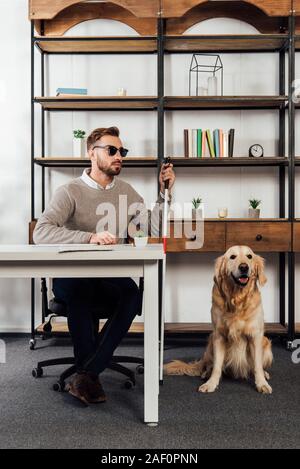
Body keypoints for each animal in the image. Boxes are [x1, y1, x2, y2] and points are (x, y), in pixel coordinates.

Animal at [165, 247, 274, 394]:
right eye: (232, 257)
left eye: (249, 256)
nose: (244, 267)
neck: (237, 300)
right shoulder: (219, 336)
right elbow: (217, 366)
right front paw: (211, 383)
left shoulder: (255, 336)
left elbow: (257, 366)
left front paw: (262, 383)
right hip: (211, 342)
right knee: (209, 365)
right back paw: (206, 373)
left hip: (266, 343)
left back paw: (265, 374)